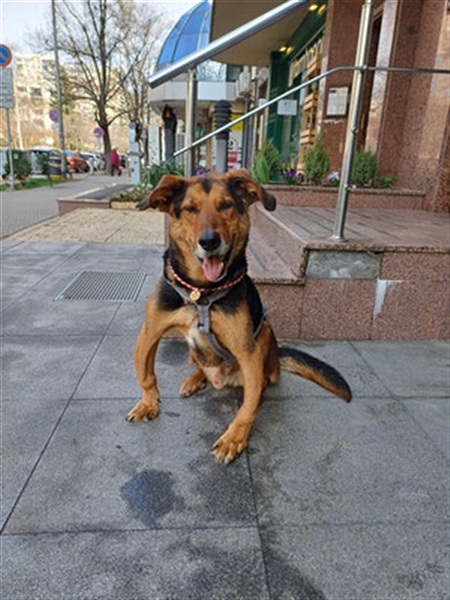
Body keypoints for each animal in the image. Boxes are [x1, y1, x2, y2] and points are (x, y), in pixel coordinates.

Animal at [127, 169, 352, 463]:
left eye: (225, 205)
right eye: (189, 209)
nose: (209, 241)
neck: (201, 292)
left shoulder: (247, 351)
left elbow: (247, 408)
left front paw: (234, 438)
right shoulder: (150, 332)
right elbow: (146, 376)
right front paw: (148, 404)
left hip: (265, 332)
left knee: (260, 383)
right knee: (201, 365)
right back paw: (194, 380)